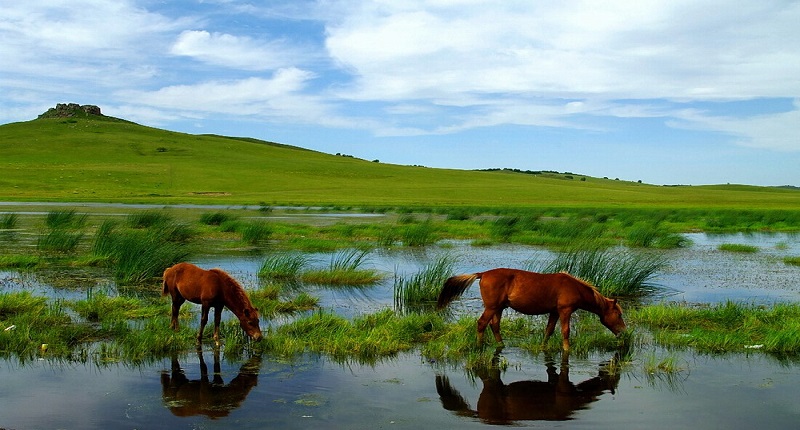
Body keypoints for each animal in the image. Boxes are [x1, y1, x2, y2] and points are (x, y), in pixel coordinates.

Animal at [438, 268, 624, 352]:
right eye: (619, 314)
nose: (623, 331)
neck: (574, 287)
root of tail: (483, 273)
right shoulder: (565, 311)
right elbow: (565, 331)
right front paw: (567, 349)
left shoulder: (554, 312)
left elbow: (549, 330)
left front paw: (543, 346)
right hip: (491, 308)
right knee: (482, 323)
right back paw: (479, 346)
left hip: (498, 308)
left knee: (494, 325)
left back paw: (501, 344)